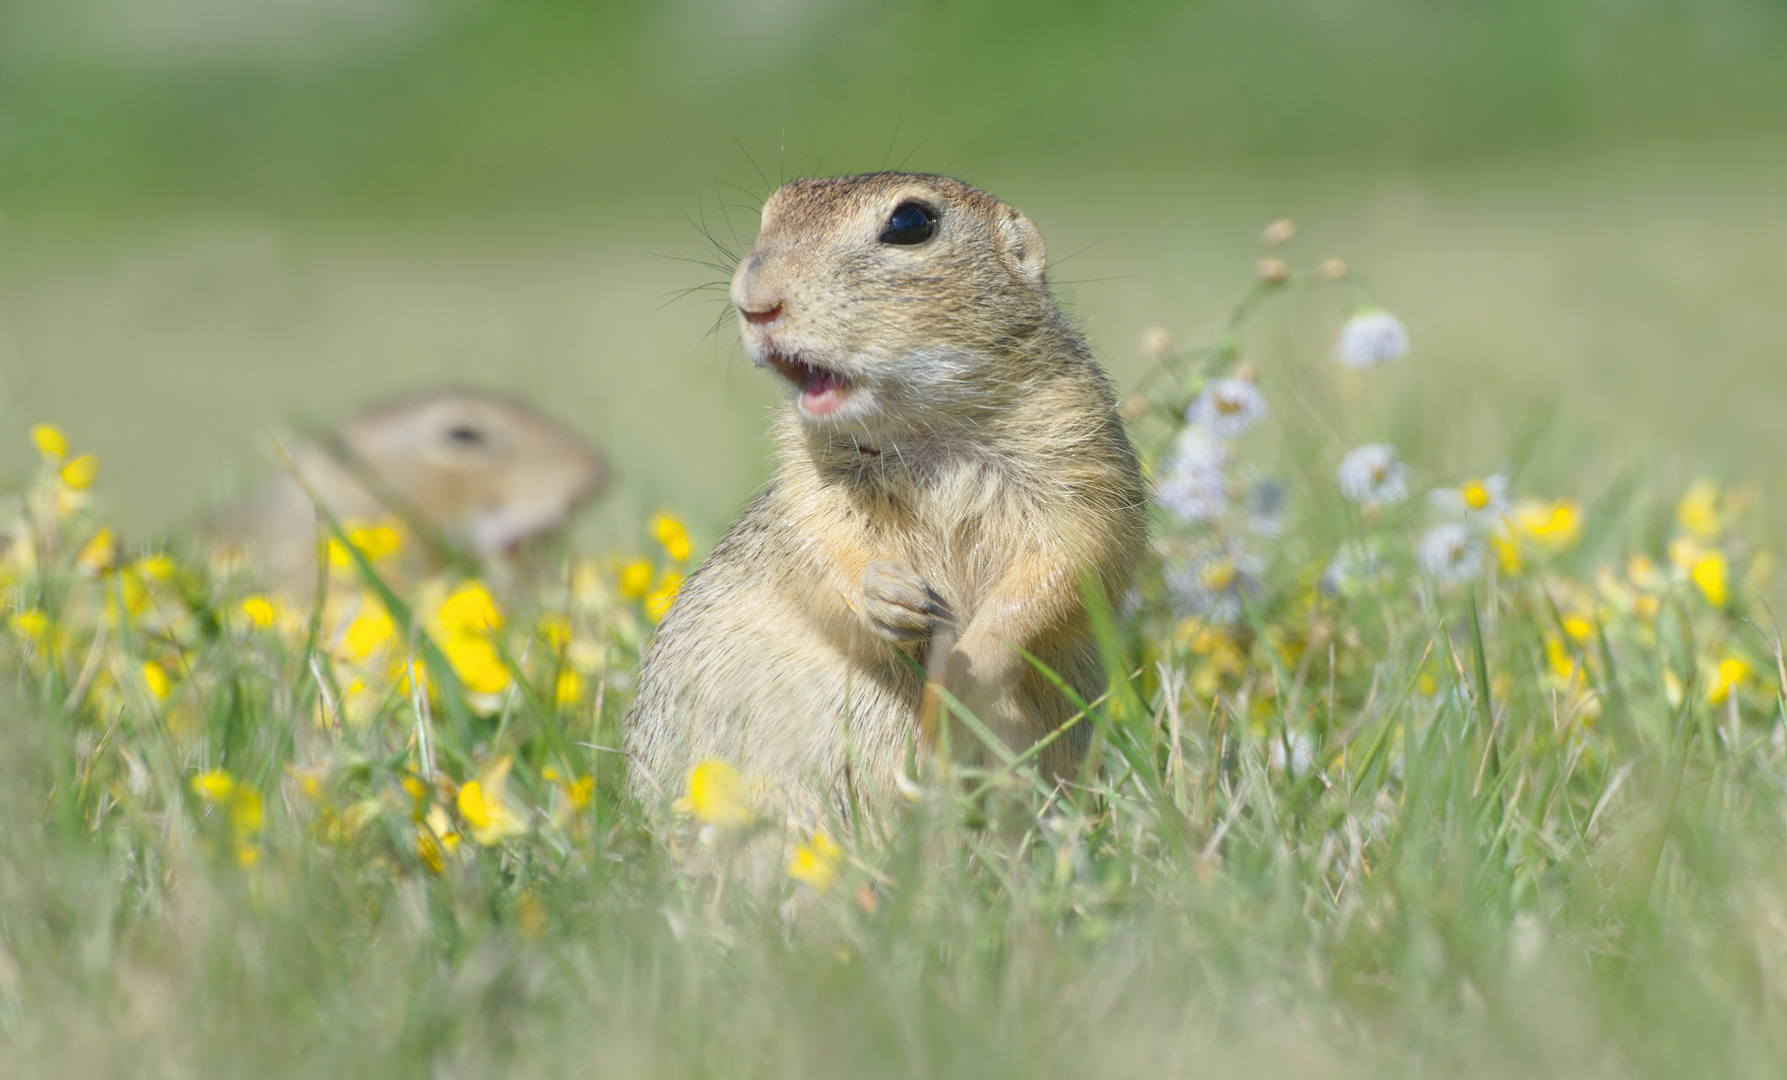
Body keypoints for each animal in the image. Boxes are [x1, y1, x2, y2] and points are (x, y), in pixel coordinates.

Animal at [629, 172, 1150, 822]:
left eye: (911, 224)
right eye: (769, 214)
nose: (754, 301)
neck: (928, 433)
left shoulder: (1082, 455)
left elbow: (1074, 563)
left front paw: (963, 676)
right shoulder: (808, 492)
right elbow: (820, 555)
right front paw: (889, 597)